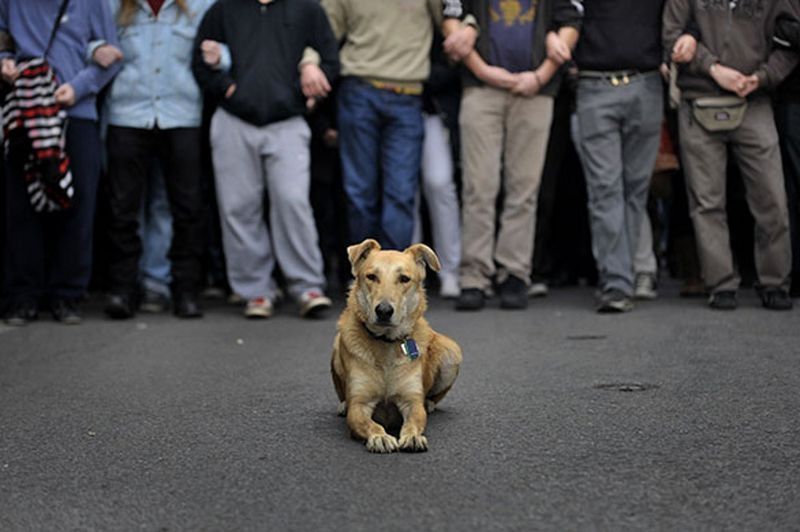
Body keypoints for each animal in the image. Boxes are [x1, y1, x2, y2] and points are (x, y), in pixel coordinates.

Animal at [330, 239, 462, 450]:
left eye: (404, 279)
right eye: (371, 276)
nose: (384, 310)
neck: (386, 342)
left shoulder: (411, 401)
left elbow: (414, 420)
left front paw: (413, 436)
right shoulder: (359, 405)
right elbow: (368, 423)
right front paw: (380, 436)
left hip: (452, 351)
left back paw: (430, 403)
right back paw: (343, 404)